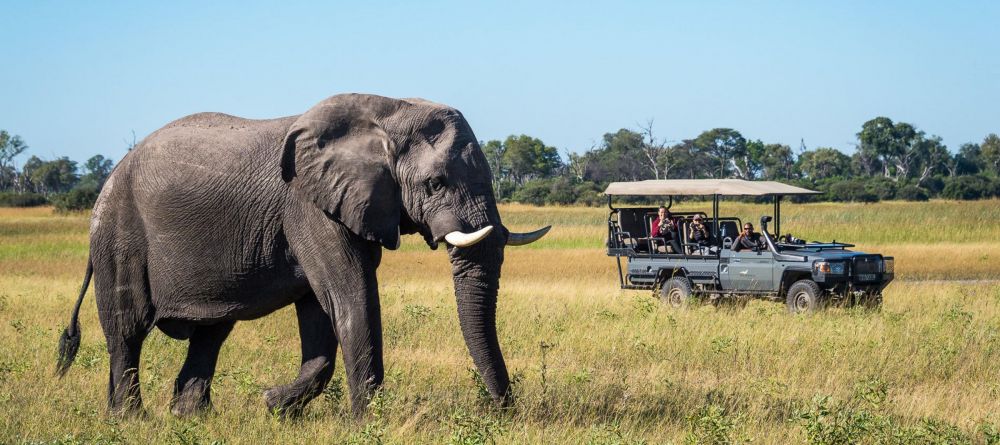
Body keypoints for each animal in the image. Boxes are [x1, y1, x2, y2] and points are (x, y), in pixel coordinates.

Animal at [57, 93, 552, 416]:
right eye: (435, 184)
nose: (504, 412)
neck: (388, 110)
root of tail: (110, 177)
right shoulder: (308, 207)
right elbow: (351, 298)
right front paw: (367, 424)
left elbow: (320, 313)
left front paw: (273, 405)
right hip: (118, 234)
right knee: (127, 328)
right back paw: (130, 420)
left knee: (211, 332)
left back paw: (191, 418)